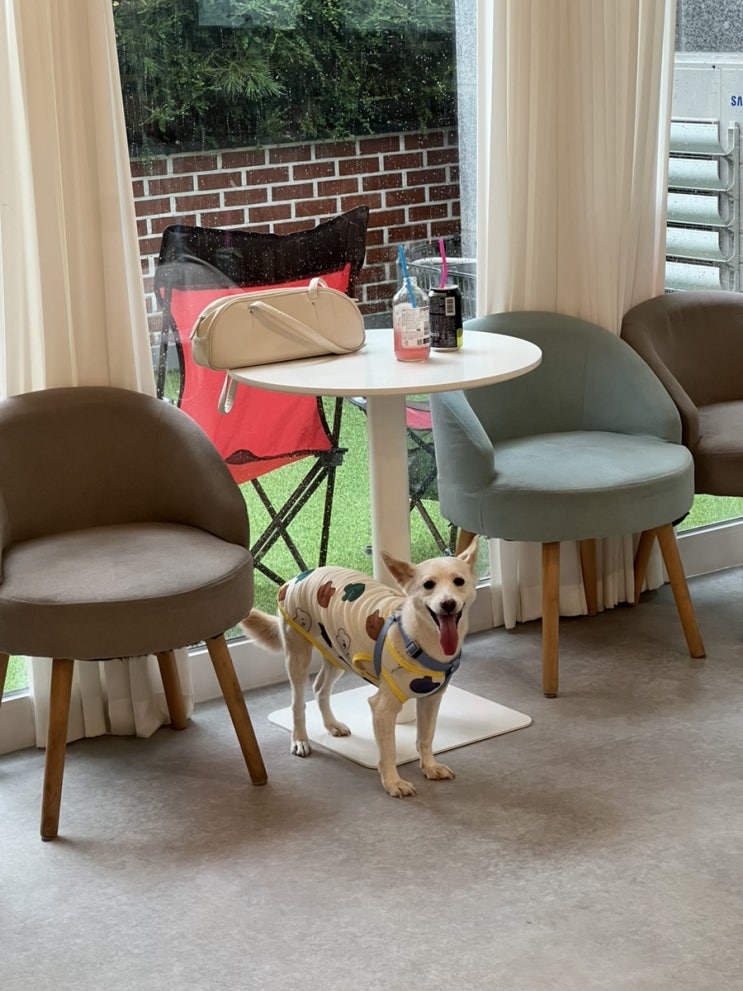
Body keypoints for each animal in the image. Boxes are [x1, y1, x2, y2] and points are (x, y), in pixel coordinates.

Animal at [241, 538, 478, 797]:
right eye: (428, 585)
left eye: (459, 581)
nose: (448, 604)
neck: (418, 638)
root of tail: (300, 575)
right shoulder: (383, 708)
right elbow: (389, 751)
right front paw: (393, 782)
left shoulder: (431, 700)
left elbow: (425, 738)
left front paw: (430, 767)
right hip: (298, 655)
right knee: (297, 703)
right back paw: (300, 740)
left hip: (338, 653)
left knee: (320, 688)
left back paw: (332, 725)